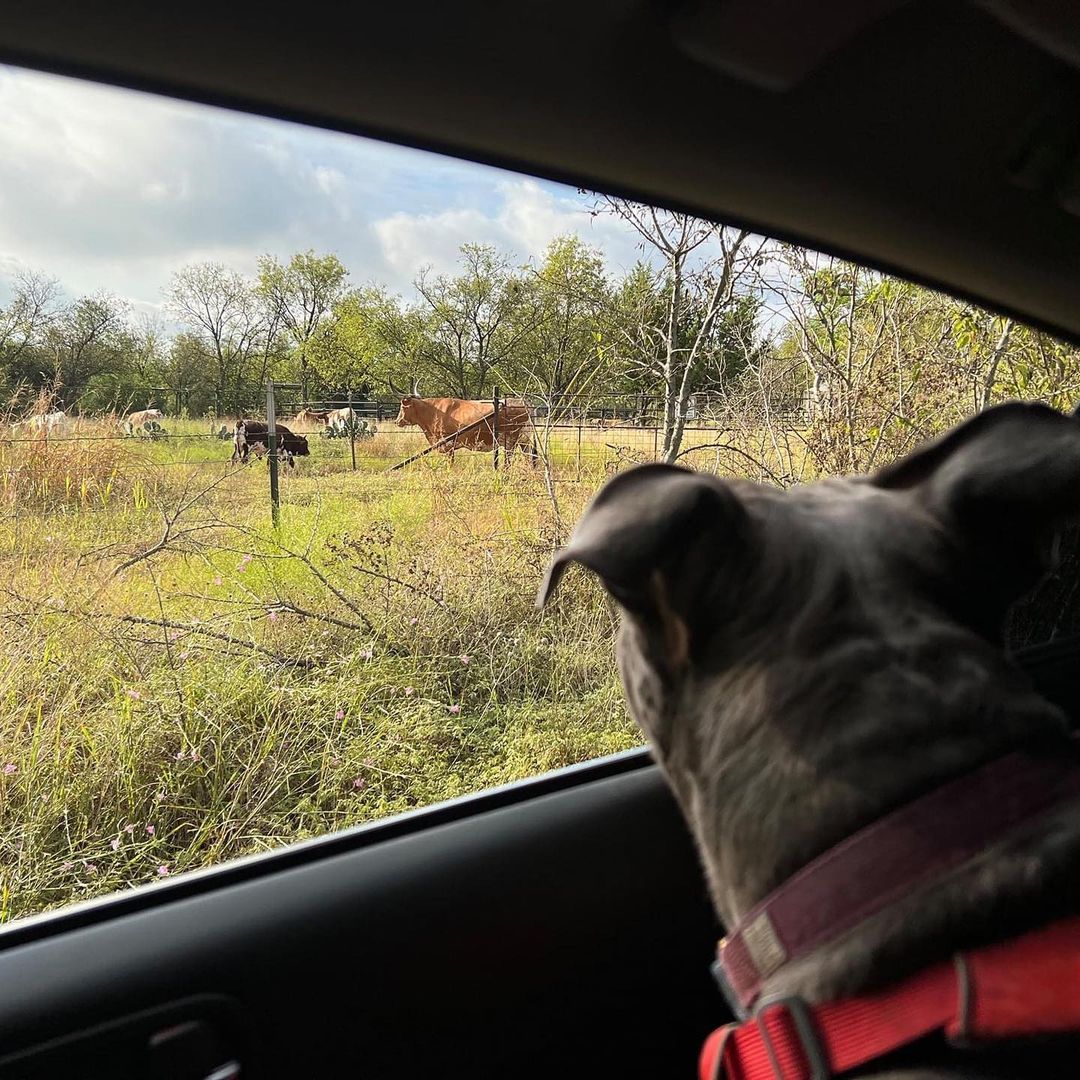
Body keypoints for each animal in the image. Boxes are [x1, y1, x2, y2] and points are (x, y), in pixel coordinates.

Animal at [393, 380, 535, 464]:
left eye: (402, 406)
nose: (397, 421)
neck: (433, 411)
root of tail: (523, 401)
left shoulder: (448, 444)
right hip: (524, 441)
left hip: (510, 440)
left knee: (508, 461)